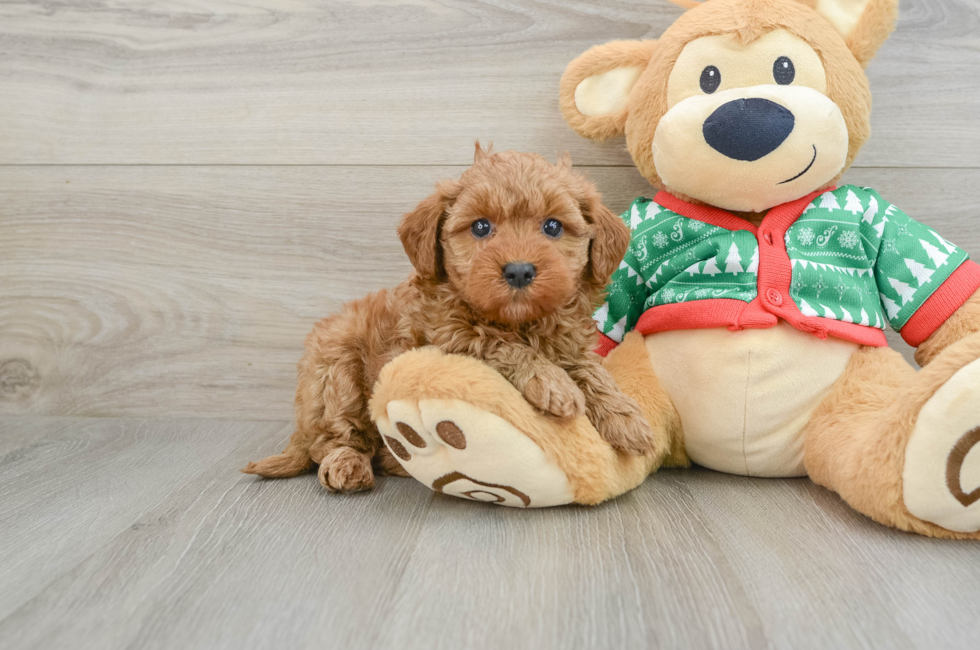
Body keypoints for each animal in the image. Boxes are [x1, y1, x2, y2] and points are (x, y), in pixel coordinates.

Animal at [243, 144, 660, 492]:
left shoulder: (568, 343)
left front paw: (627, 417)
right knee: (335, 438)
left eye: (553, 226)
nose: (519, 270)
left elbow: (591, 370)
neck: (519, 322)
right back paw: (349, 465)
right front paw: (551, 382)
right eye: (480, 227)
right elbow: (500, 345)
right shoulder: (447, 336)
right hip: (334, 369)